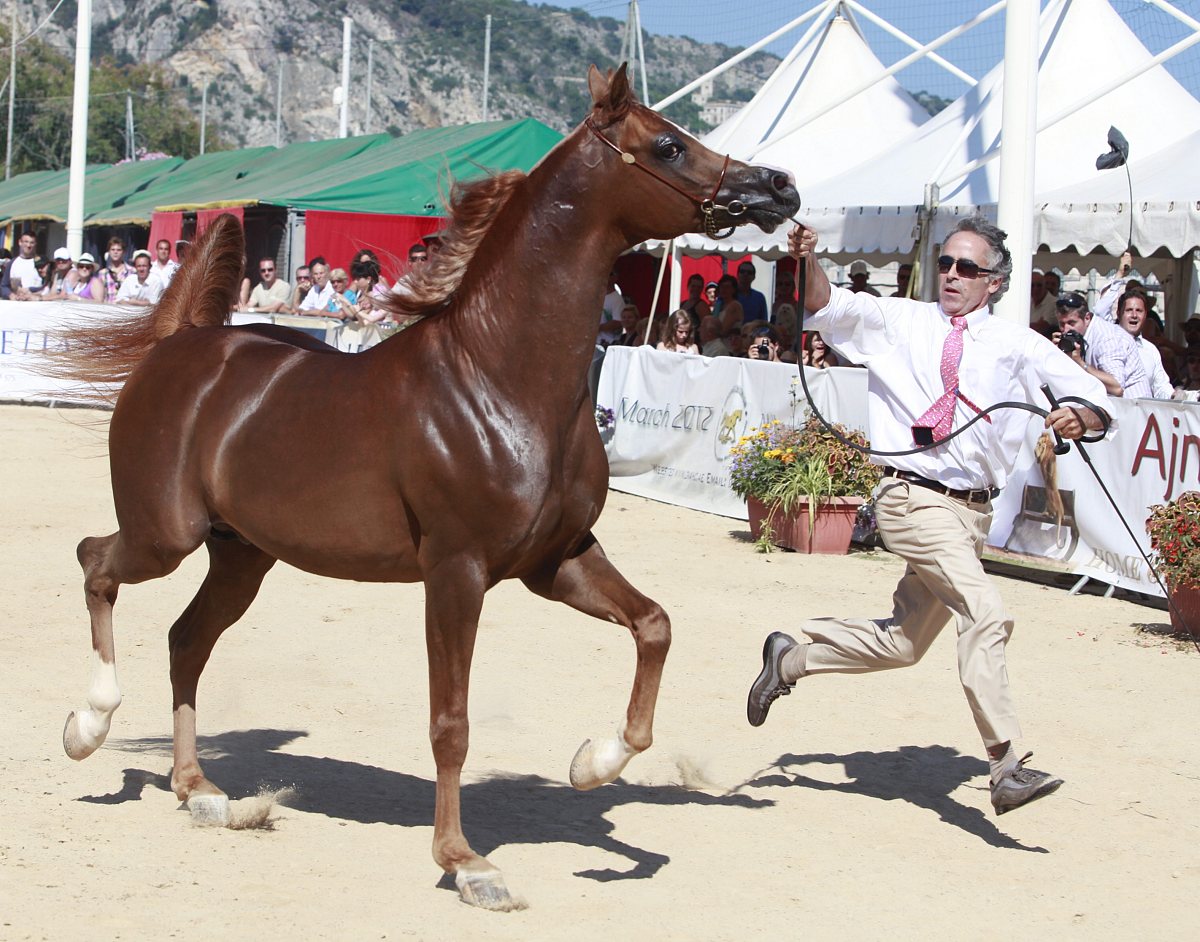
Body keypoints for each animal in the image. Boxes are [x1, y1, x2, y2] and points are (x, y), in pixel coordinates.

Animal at [50, 64, 800, 911]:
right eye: (669, 145)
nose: (779, 187)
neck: (501, 379)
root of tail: (181, 345)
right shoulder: (456, 572)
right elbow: (453, 722)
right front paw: (467, 863)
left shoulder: (558, 560)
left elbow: (654, 626)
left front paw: (593, 763)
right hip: (166, 534)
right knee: (95, 561)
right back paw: (89, 726)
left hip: (241, 555)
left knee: (186, 641)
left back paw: (198, 789)